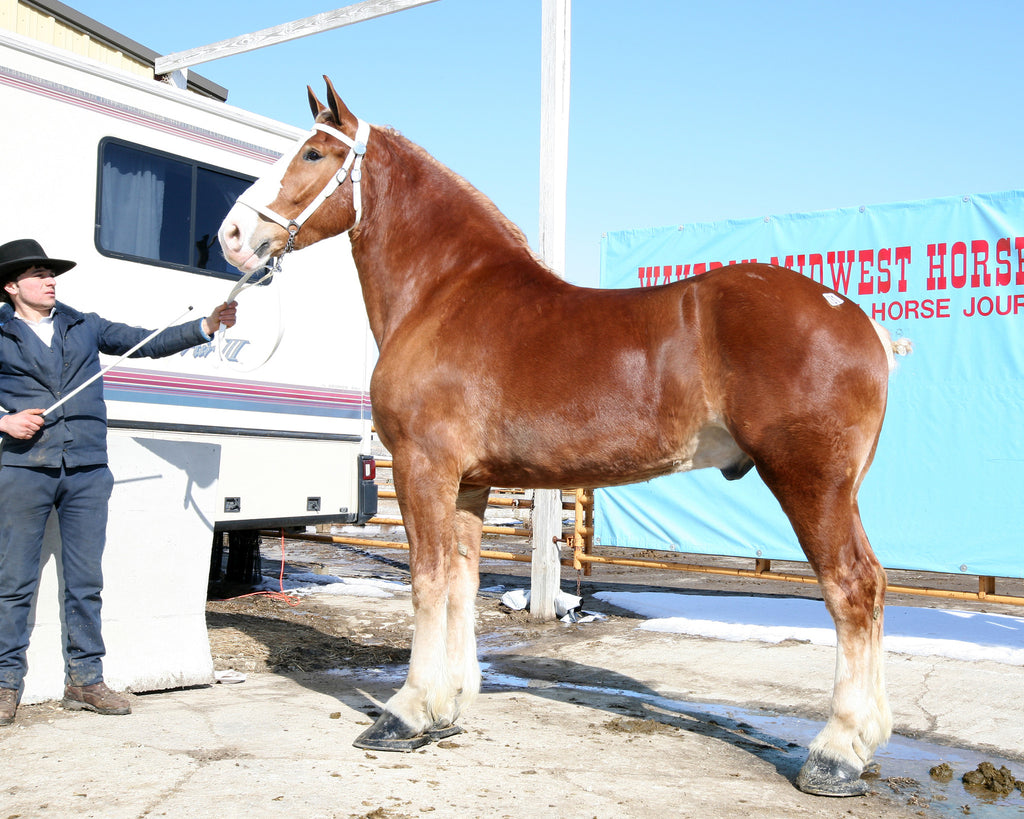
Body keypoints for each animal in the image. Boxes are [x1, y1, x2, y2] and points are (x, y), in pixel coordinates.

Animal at [222, 79, 905, 798]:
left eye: (314, 152)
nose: (233, 234)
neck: (444, 293)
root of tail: (858, 318)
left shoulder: (421, 467)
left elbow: (428, 581)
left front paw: (405, 714)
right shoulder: (469, 484)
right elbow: (460, 581)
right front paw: (448, 707)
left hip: (809, 482)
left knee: (852, 587)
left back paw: (836, 752)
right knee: (872, 587)